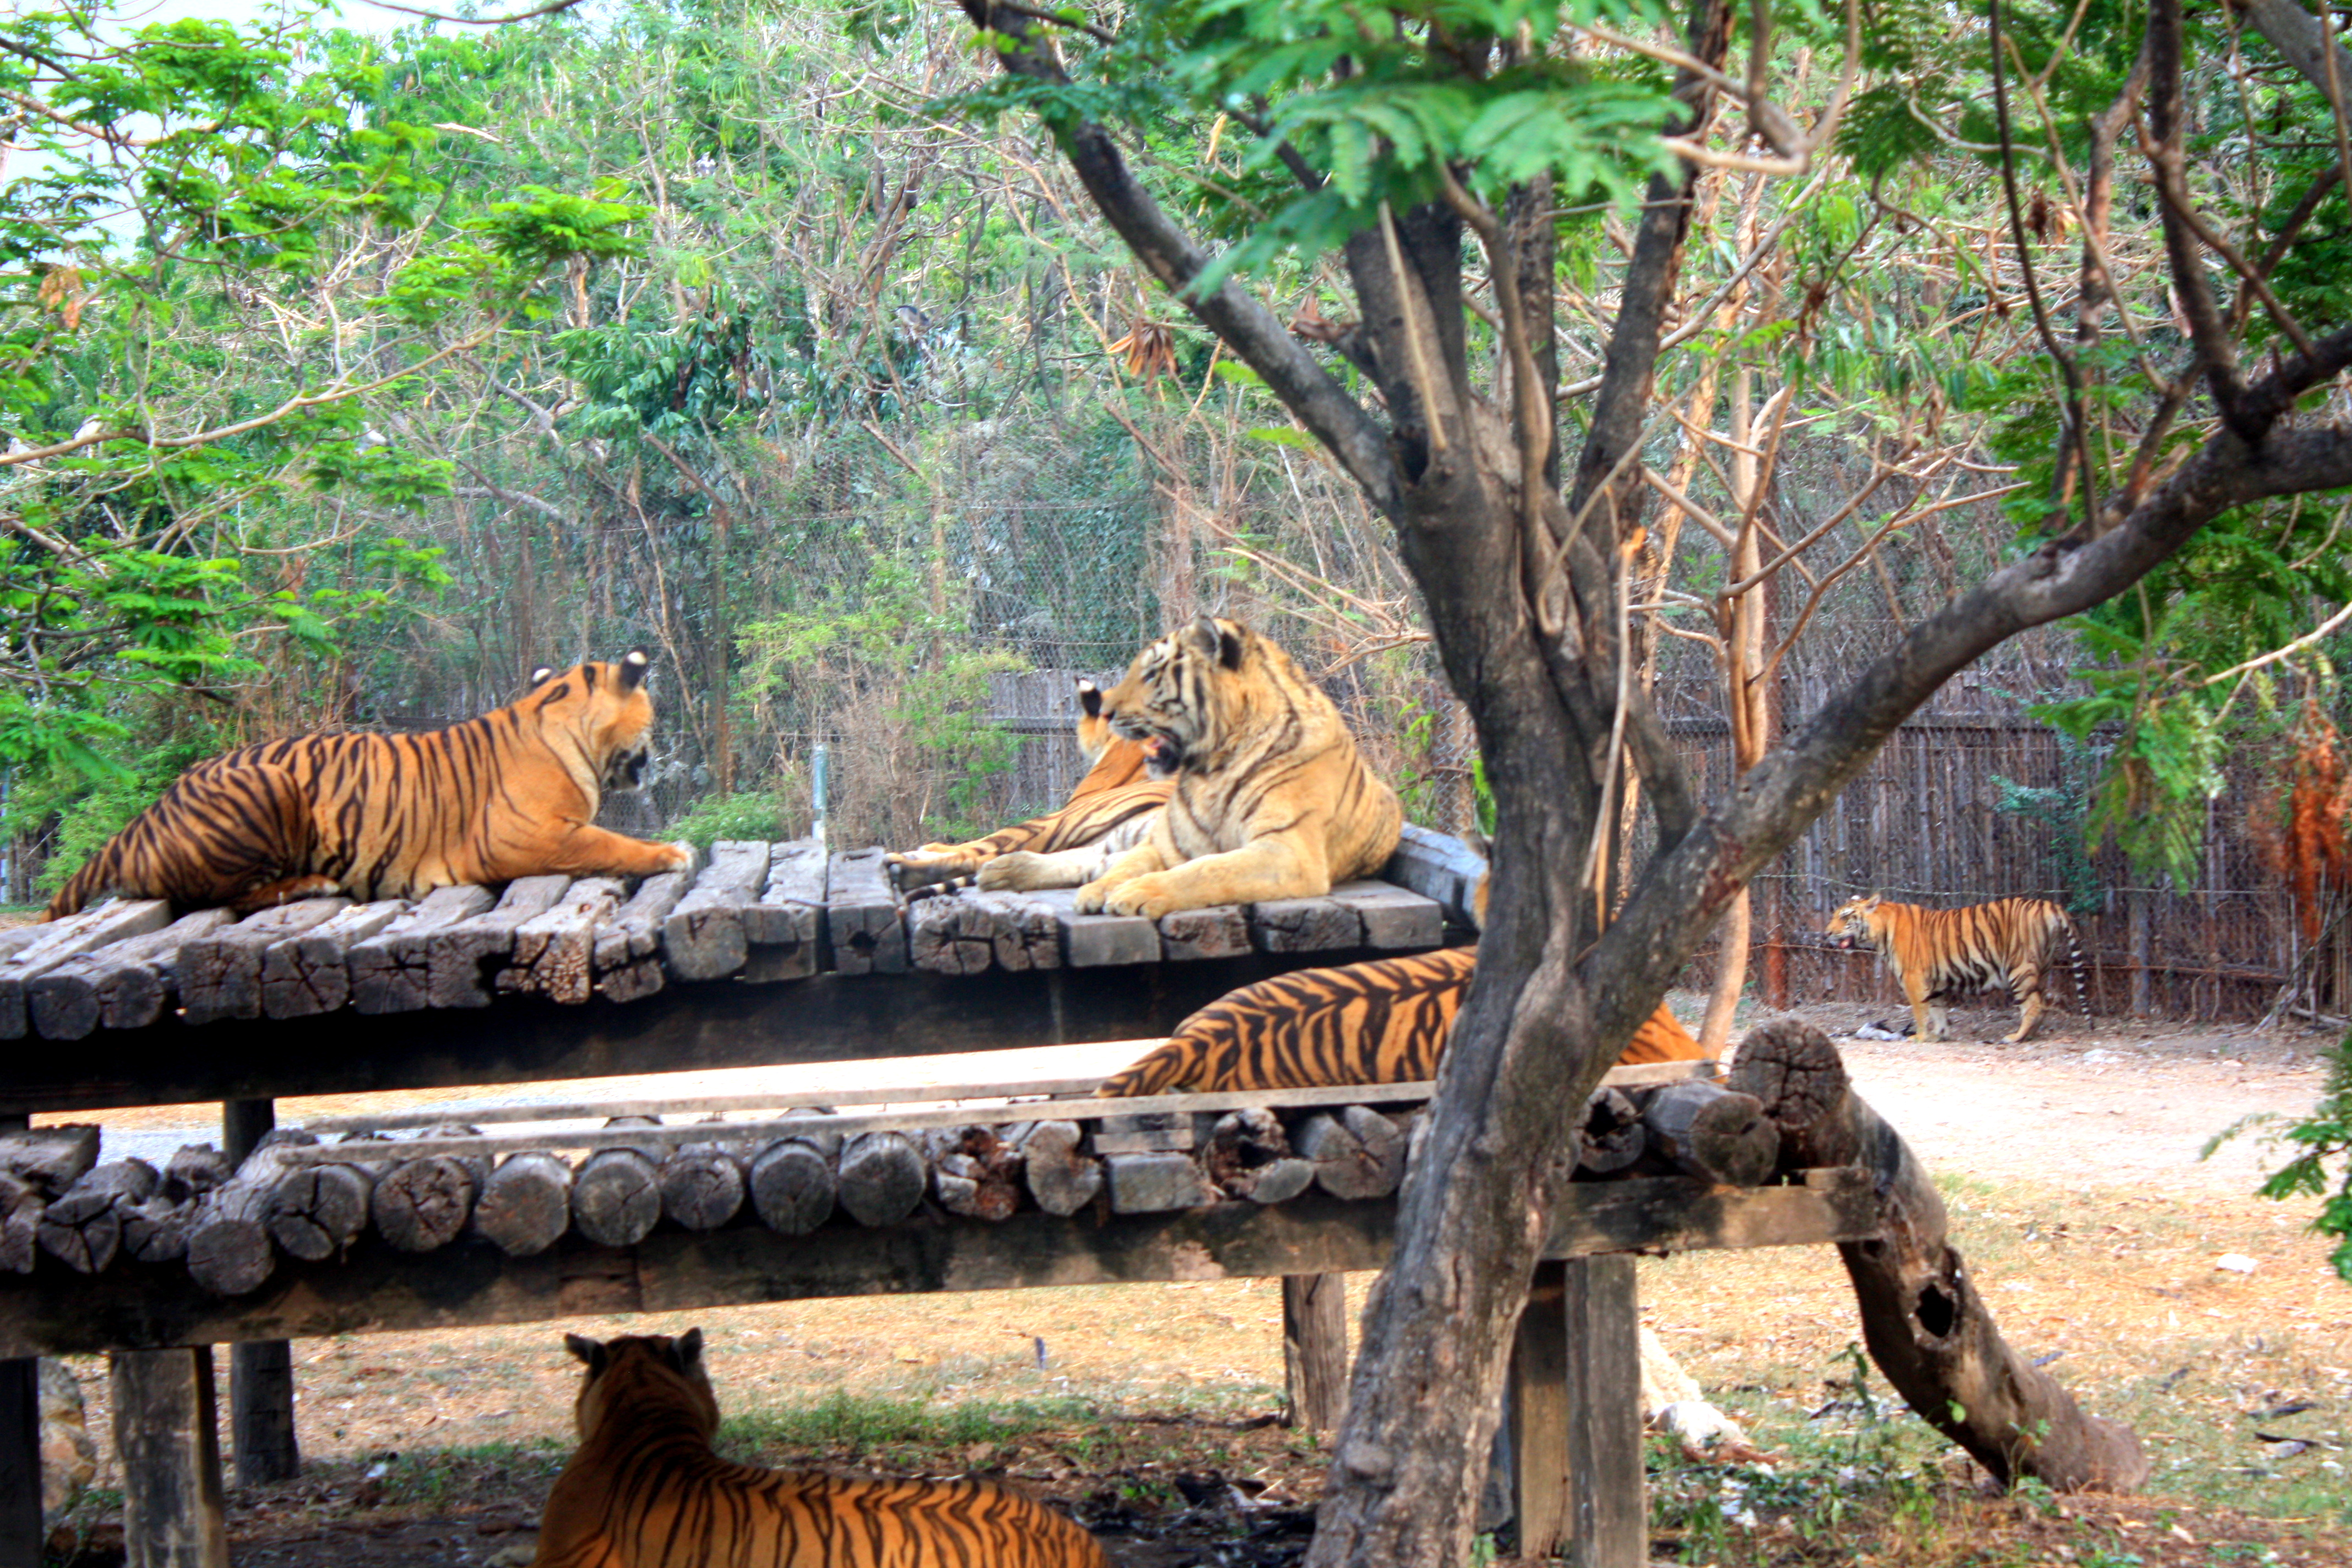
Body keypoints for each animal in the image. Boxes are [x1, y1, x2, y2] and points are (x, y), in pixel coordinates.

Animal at [46, 649, 687, 921]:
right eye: (651, 714)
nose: (655, 753)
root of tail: (141, 820)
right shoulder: (520, 837)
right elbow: (607, 841)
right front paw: (671, 853)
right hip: (266, 784)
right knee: (217, 896)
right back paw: (310, 885)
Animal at [1815, 893, 2098, 1043]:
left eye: (1845, 917)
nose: (1826, 933)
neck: (1880, 932)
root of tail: (2049, 904)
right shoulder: (1934, 983)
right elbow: (1938, 1010)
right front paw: (1939, 1036)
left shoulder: (1913, 979)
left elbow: (1921, 1012)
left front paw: (1920, 1037)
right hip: (2043, 967)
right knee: (2043, 1004)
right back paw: (2029, 1036)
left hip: (2020, 968)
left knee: (2034, 1005)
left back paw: (2015, 1037)